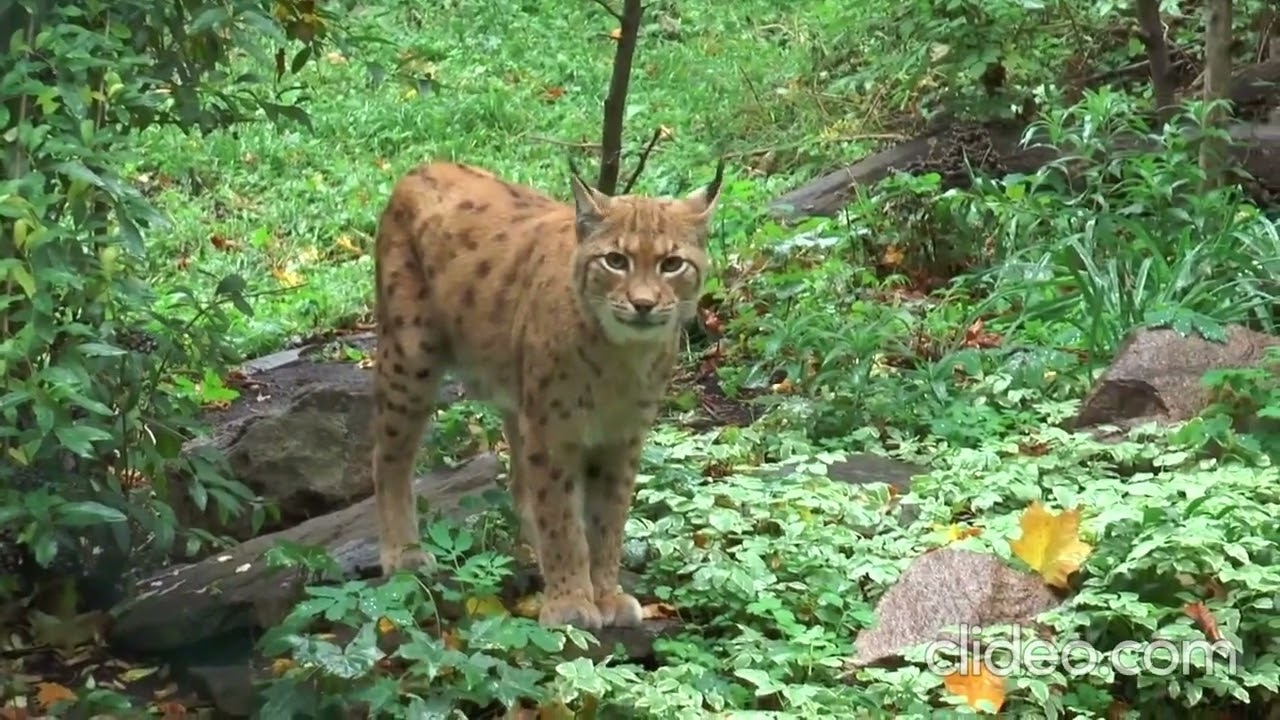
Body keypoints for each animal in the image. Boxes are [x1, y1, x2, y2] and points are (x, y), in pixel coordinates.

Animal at [370, 156, 724, 630]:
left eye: (671, 264)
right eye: (615, 261)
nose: (644, 304)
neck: (621, 353)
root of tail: (426, 165)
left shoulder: (622, 437)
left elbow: (608, 520)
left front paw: (604, 593)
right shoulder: (554, 432)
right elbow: (561, 516)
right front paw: (571, 601)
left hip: (517, 396)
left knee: (521, 485)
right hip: (412, 357)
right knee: (388, 455)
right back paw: (403, 554)